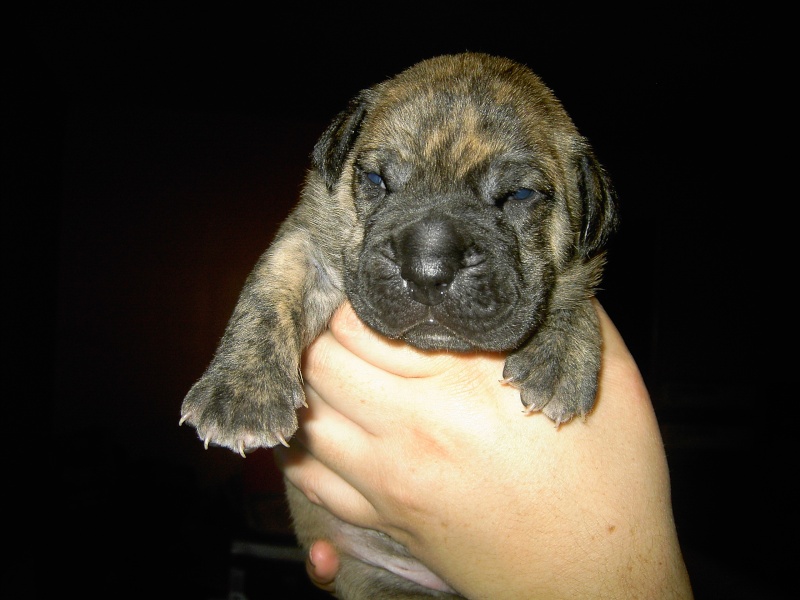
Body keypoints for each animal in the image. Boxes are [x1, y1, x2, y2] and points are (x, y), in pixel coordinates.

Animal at [180, 54, 620, 596]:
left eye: (518, 195)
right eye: (375, 181)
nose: (427, 269)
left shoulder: (582, 261)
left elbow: (576, 290)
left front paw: (561, 358)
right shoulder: (308, 239)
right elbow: (268, 294)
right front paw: (240, 395)